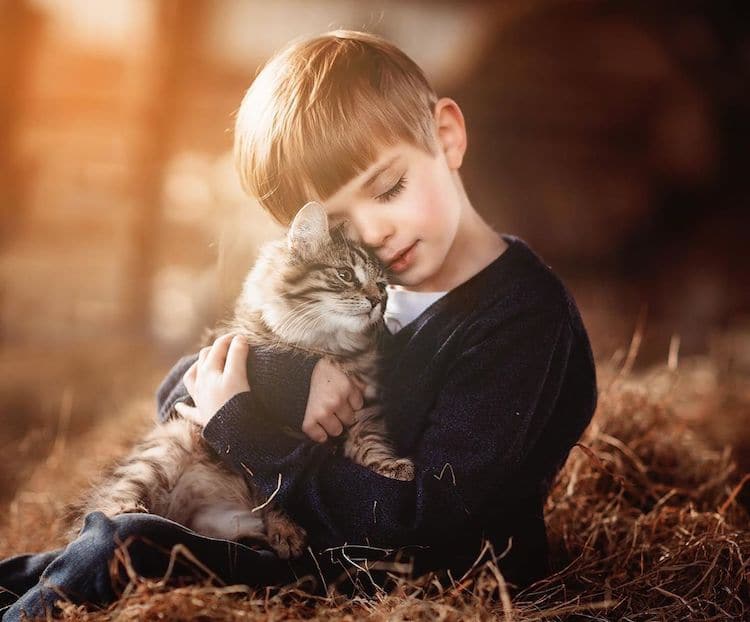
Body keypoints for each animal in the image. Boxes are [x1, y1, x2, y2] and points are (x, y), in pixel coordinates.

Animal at [72, 204, 414, 560]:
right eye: (346, 275)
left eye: (383, 287)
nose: (376, 301)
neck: (328, 348)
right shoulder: (261, 442)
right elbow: (275, 488)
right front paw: (285, 529)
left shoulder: (364, 410)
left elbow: (371, 445)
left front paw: (392, 468)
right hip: (164, 451)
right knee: (107, 505)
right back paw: (129, 513)